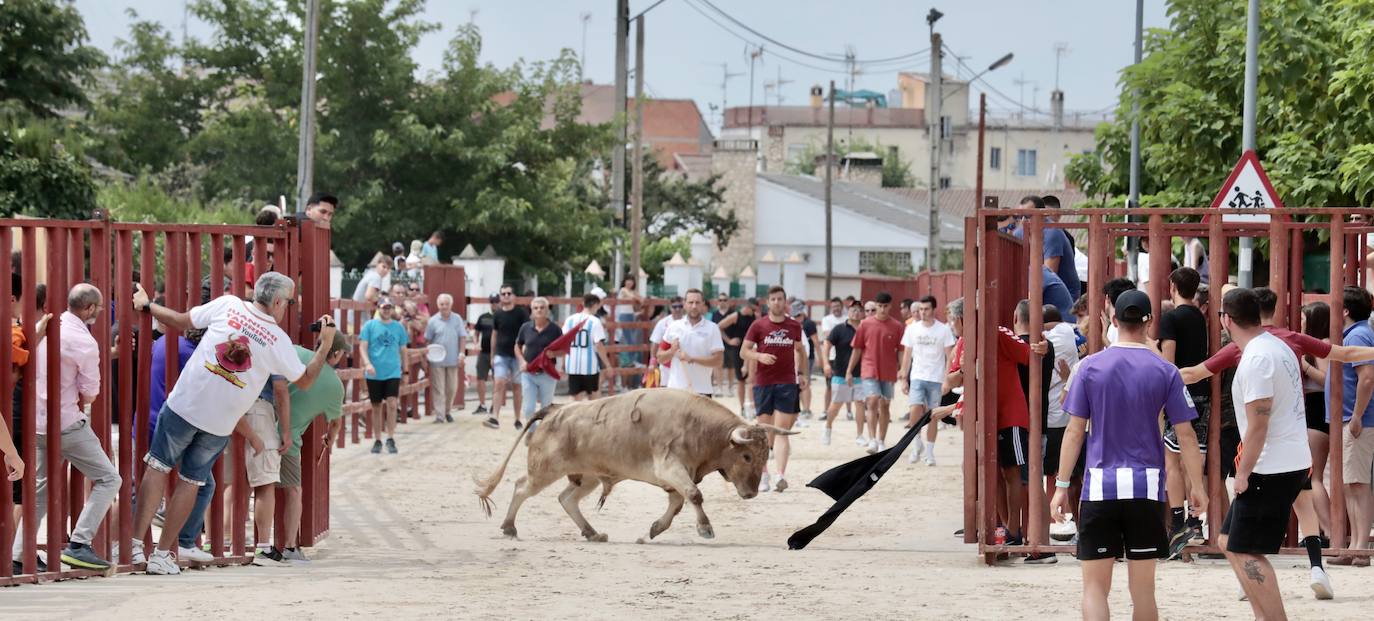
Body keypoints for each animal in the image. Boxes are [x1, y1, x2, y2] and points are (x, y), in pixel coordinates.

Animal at [472, 390, 796, 541]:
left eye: (765, 455)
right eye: (747, 456)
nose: (752, 493)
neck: (702, 429)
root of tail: (555, 410)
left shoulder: (675, 477)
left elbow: (677, 503)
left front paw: (655, 529)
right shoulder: (671, 468)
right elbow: (693, 495)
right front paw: (705, 528)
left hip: (588, 476)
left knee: (567, 499)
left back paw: (592, 533)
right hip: (545, 469)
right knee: (521, 488)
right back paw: (509, 527)